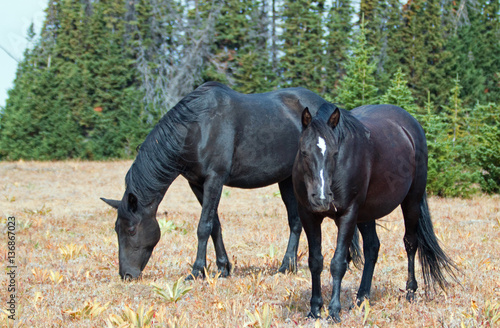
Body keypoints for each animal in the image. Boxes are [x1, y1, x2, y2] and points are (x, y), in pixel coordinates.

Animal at [100, 81, 328, 280]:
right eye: (116, 229)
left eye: (131, 230)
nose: (126, 274)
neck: (198, 128)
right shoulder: (197, 184)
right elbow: (215, 225)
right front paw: (223, 268)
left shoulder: (214, 180)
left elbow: (204, 226)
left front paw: (196, 271)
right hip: (287, 180)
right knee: (295, 221)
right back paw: (287, 266)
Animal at [292, 103, 458, 322]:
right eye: (304, 152)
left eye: (335, 153)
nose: (321, 199)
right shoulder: (308, 215)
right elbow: (315, 261)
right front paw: (315, 309)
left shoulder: (348, 214)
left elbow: (338, 263)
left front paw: (334, 311)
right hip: (366, 214)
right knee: (372, 247)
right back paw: (362, 299)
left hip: (411, 201)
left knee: (410, 243)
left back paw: (410, 292)